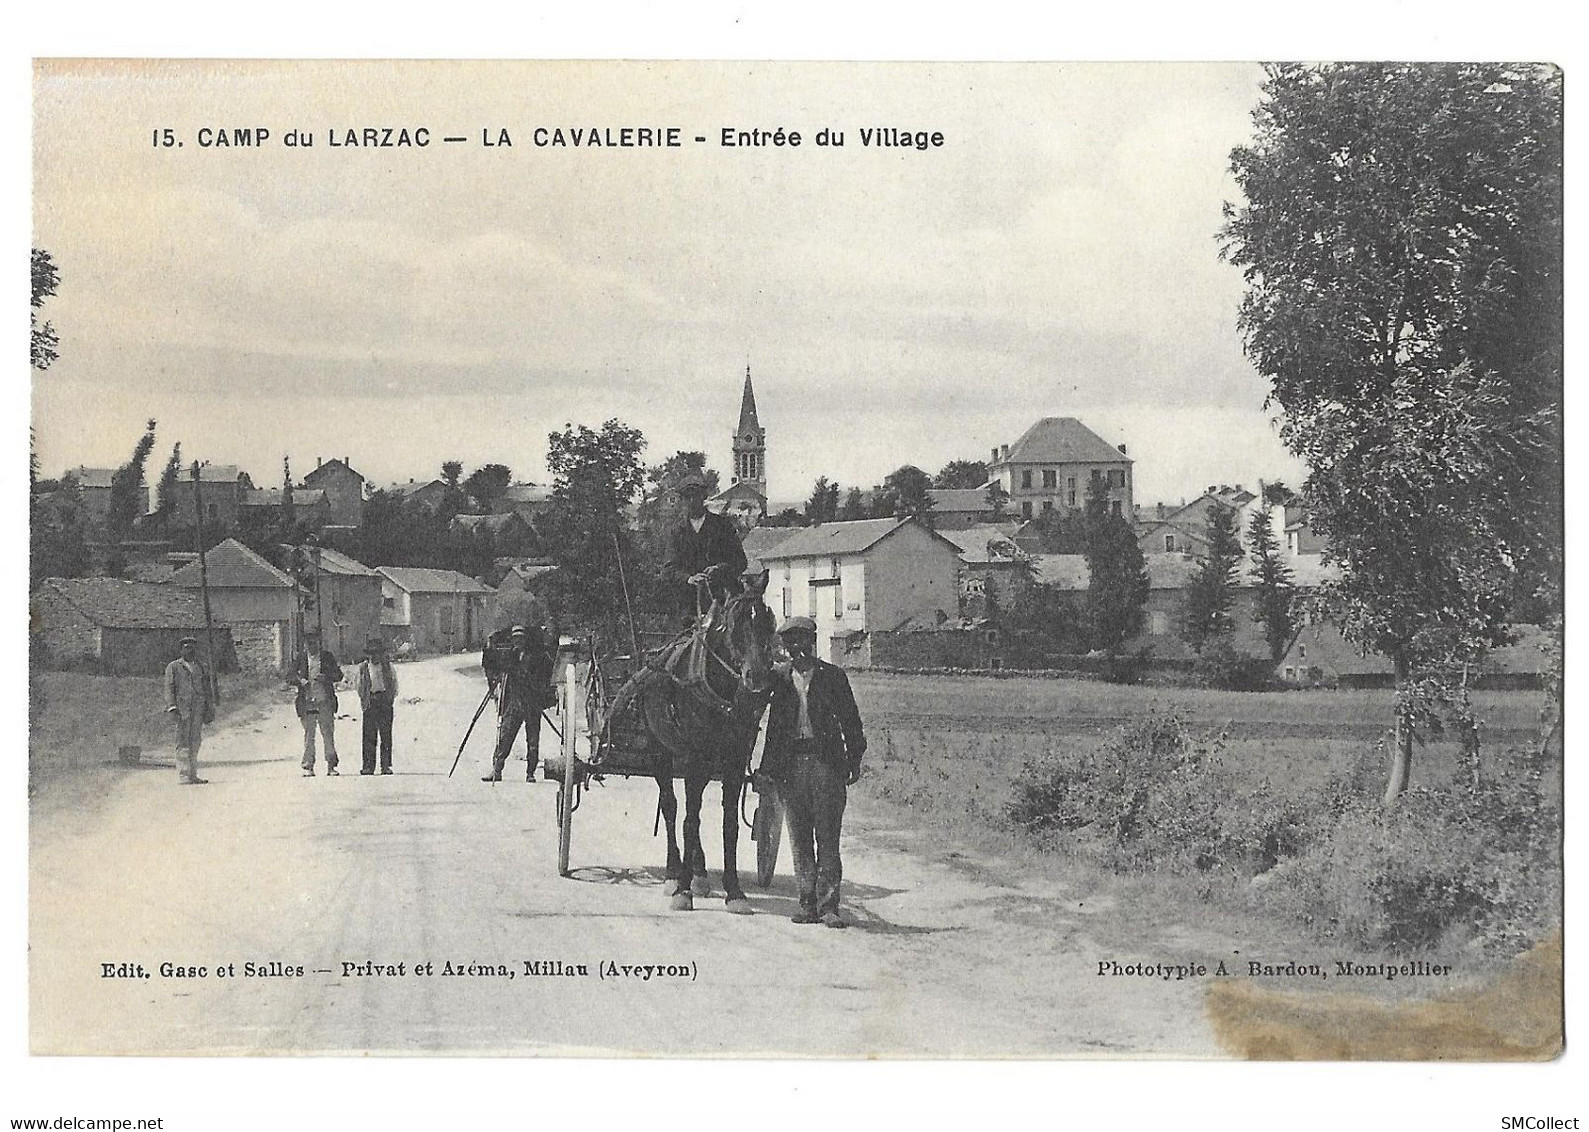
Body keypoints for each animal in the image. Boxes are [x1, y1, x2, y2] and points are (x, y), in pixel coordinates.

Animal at [606, 569, 775, 915]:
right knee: (672, 808)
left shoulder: (733, 761)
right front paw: (682, 889)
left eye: (768, 620)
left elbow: (728, 824)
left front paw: (733, 891)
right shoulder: (694, 758)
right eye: (735, 624)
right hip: (662, 752)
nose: (757, 679)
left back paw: (699, 873)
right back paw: (675, 873)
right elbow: (688, 820)